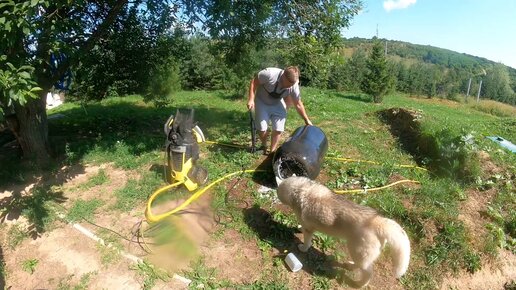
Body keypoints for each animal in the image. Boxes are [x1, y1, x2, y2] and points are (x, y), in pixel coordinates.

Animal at [278, 177, 412, 288]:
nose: (276, 194)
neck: (302, 190)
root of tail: (376, 220)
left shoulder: (309, 230)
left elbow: (306, 242)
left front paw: (303, 248)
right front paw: (299, 228)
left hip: (357, 252)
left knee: (368, 273)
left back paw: (360, 283)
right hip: (358, 254)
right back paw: (350, 266)